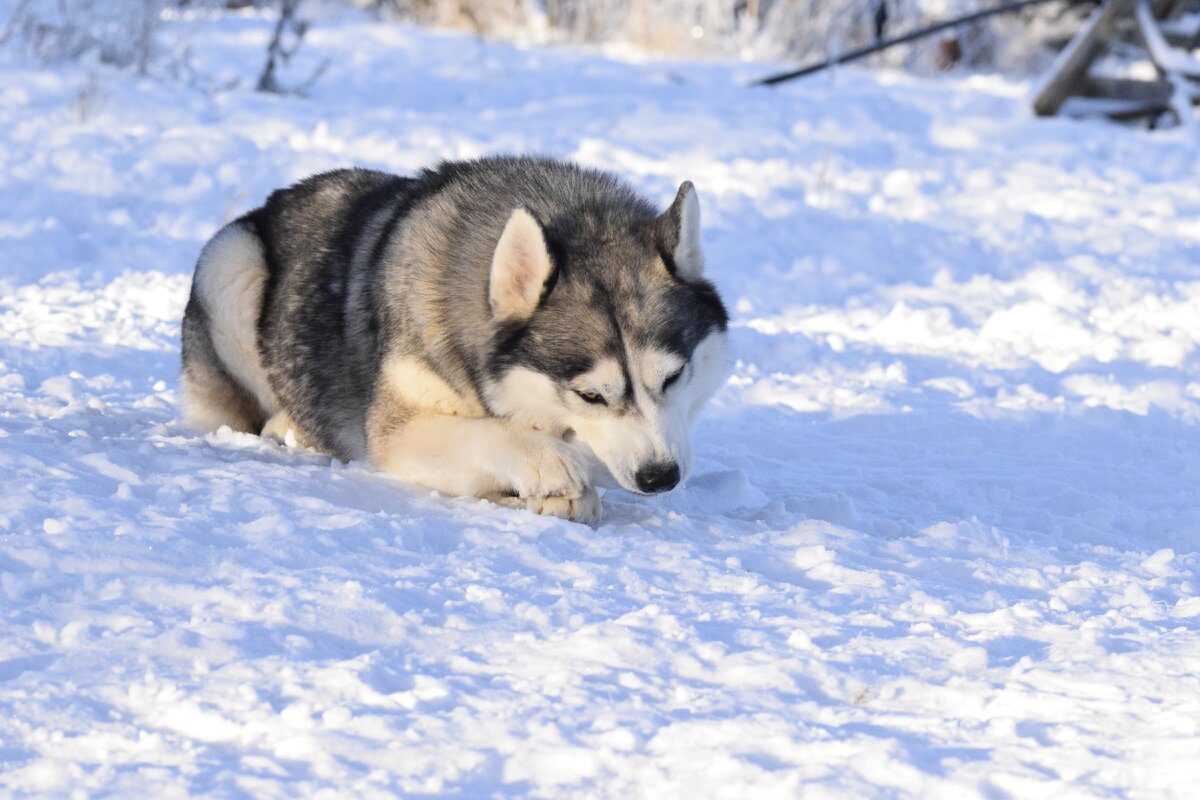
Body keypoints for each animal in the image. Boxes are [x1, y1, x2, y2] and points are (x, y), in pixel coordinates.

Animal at [176, 158, 720, 525]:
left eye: (674, 376)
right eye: (590, 395)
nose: (660, 476)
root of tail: (275, 199)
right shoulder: (399, 433)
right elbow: (491, 435)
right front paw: (546, 462)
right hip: (231, 261)